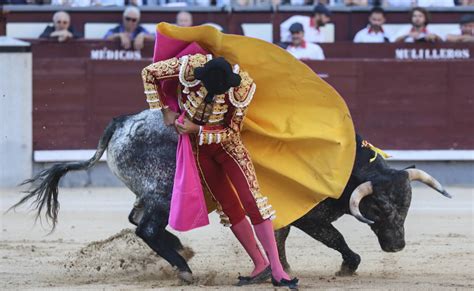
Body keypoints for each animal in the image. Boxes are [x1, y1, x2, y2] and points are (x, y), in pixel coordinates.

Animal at [10, 110, 448, 282]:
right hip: (163, 190)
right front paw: (344, 267)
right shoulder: (309, 216)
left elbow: (280, 238)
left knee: (138, 221)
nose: (397, 246)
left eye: (407, 206)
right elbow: (337, 240)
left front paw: (279, 270)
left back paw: (182, 251)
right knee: (145, 228)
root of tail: (122, 122)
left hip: (148, 193)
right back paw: (185, 269)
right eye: (382, 207)